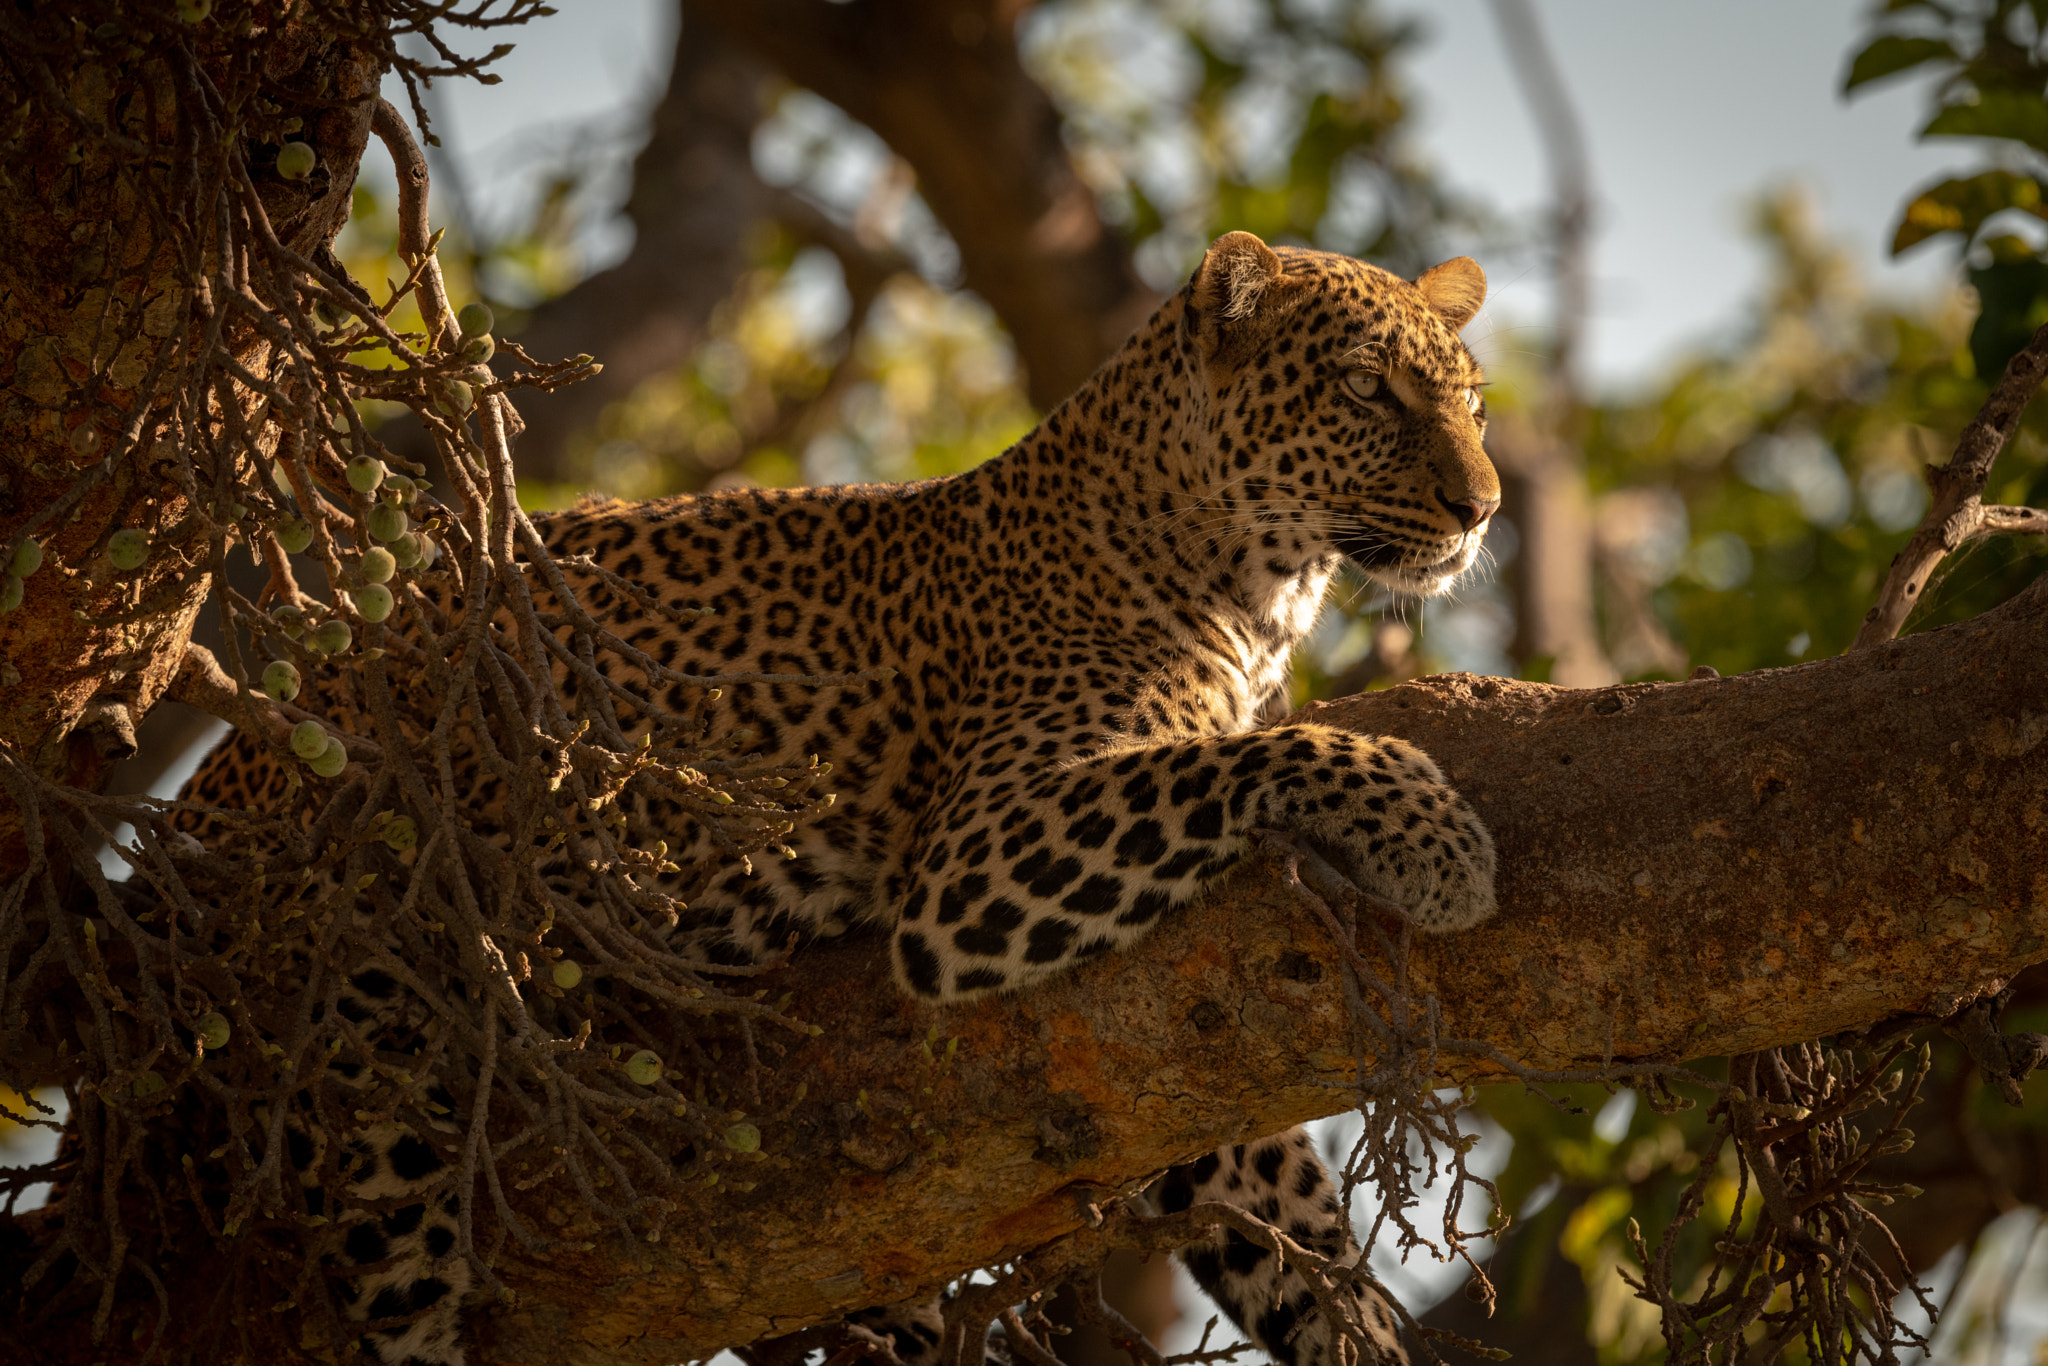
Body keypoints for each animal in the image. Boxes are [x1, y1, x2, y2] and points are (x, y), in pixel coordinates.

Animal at [184, 229, 1507, 1366]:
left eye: (1472, 403)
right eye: (1365, 392)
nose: (1481, 507)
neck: (1258, 593)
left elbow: (1282, 1212)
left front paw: (1361, 1330)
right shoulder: (978, 859)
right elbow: (1241, 758)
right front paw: (1433, 839)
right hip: (374, 1055)